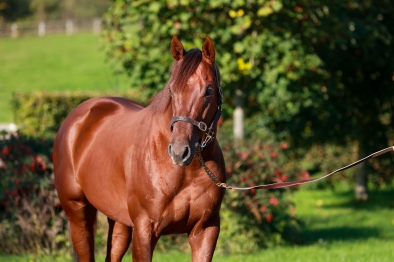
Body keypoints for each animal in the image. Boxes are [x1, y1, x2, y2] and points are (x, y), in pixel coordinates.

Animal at [53, 35, 225, 262]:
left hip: (119, 221)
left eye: (209, 90)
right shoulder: (145, 229)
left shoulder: (206, 230)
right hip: (79, 214)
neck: (187, 172)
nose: (179, 151)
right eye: (172, 90)